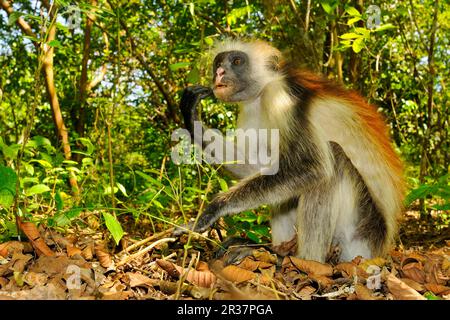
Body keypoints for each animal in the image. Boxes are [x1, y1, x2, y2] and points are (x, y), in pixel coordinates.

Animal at [178, 39, 406, 262]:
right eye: (218, 63)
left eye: (236, 61)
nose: (219, 72)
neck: (262, 91)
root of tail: (380, 248)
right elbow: (257, 167)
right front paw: (192, 119)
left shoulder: (280, 98)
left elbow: (313, 167)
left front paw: (213, 209)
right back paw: (273, 250)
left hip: (361, 230)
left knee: (331, 163)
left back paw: (303, 261)